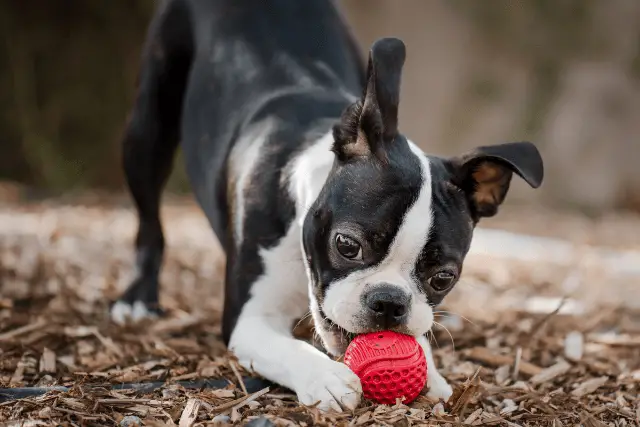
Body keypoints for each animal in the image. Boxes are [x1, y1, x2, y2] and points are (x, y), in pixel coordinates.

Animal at [112, 0, 544, 414]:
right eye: (347, 245)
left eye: (443, 278)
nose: (389, 302)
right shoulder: (250, 318)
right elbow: (286, 348)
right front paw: (326, 378)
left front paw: (431, 371)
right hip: (147, 129)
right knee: (149, 220)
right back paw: (138, 298)